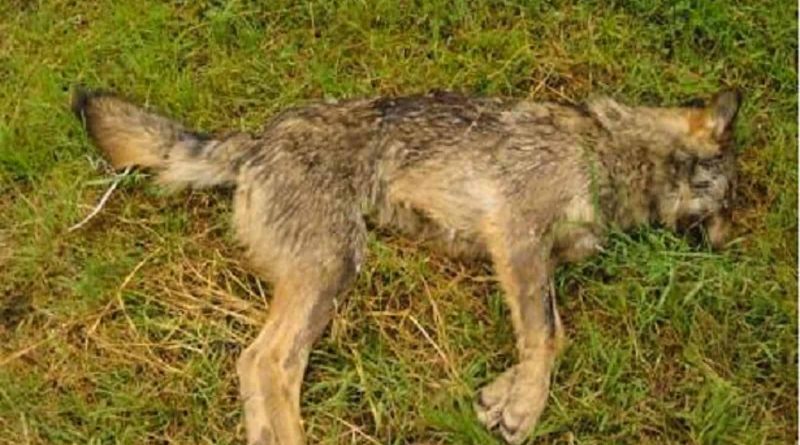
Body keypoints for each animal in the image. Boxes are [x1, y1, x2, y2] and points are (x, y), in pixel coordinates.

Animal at [72, 87, 740, 445]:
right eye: (726, 203)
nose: (726, 246)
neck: (608, 153)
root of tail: (255, 140)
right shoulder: (518, 238)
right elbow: (551, 336)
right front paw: (526, 408)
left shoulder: (527, 258)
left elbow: (539, 338)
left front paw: (503, 396)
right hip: (336, 266)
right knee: (267, 362)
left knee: (253, 365)